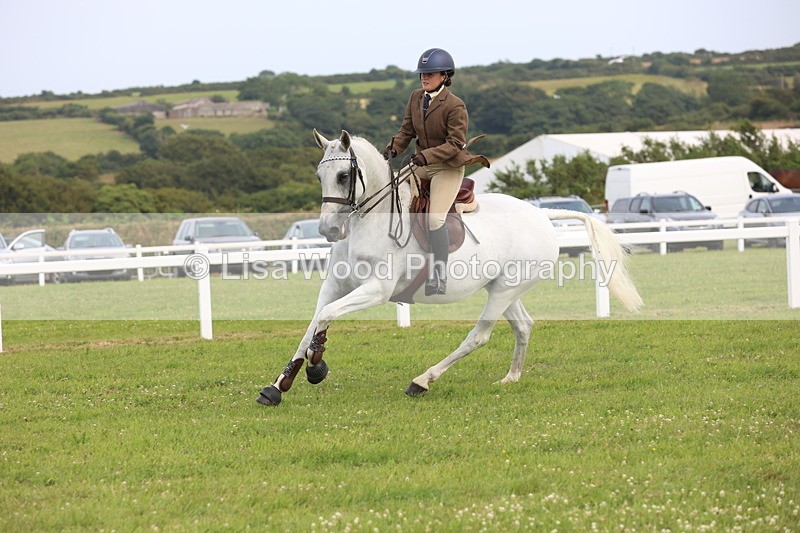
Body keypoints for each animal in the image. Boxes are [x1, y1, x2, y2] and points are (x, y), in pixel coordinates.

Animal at [256, 130, 643, 406]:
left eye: (343, 174)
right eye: (319, 174)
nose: (328, 230)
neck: (370, 221)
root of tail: (543, 215)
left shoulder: (377, 290)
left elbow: (325, 318)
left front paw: (316, 366)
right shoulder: (336, 286)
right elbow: (314, 322)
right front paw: (279, 385)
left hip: (504, 291)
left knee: (479, 335)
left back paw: (422, 381)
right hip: (504, 288)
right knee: (523, 326)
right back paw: (511, 378)